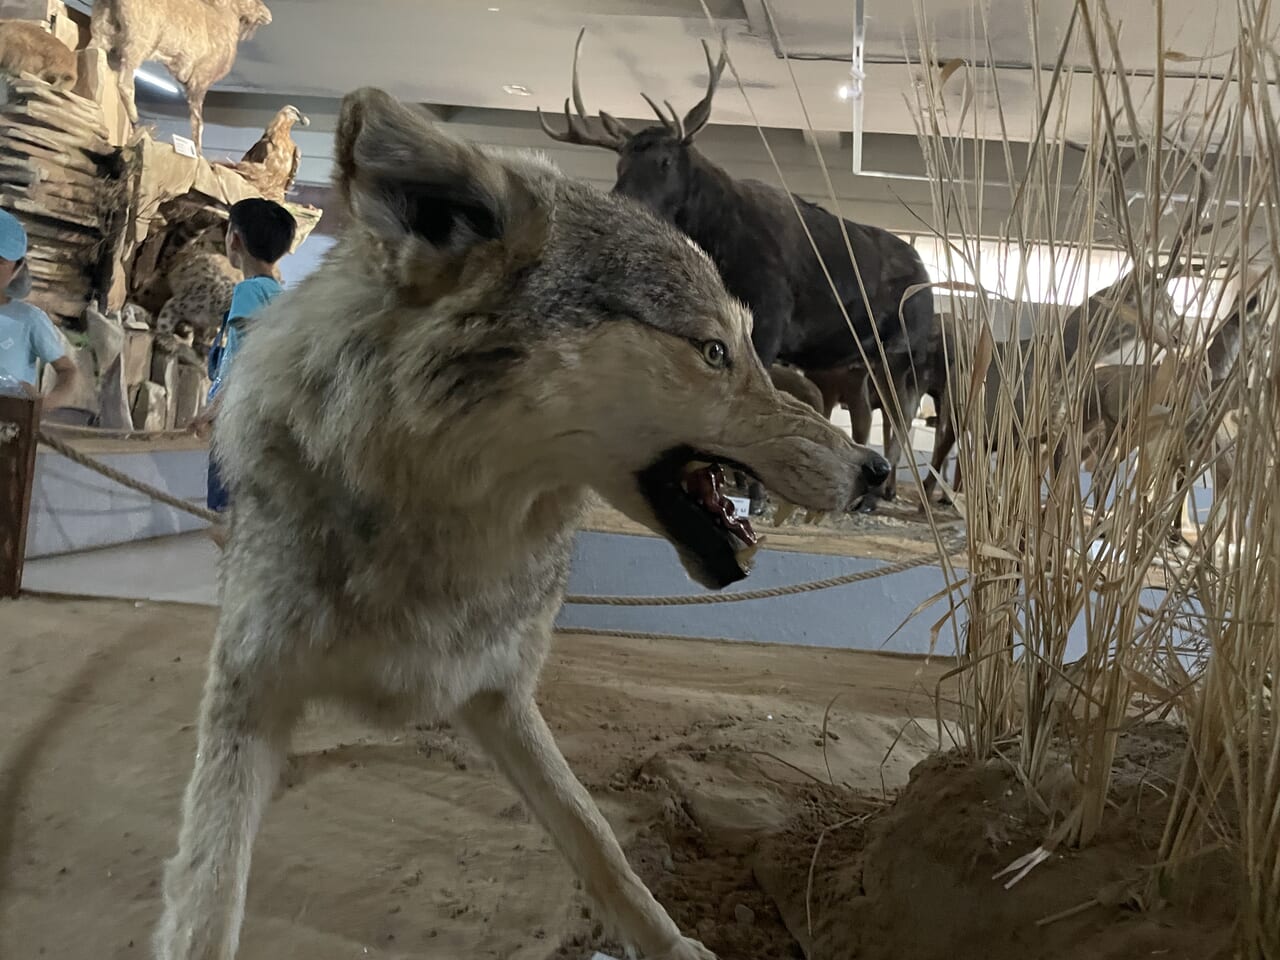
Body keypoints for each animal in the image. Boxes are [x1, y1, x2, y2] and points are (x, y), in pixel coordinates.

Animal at [152, 86, 890, 957]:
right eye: (714, 351)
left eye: (747, 348)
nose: (876, 471)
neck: (437, 527)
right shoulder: (249, 691)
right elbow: (208, 895)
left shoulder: (498, 689)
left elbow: (598, 841)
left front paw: (672, 942)